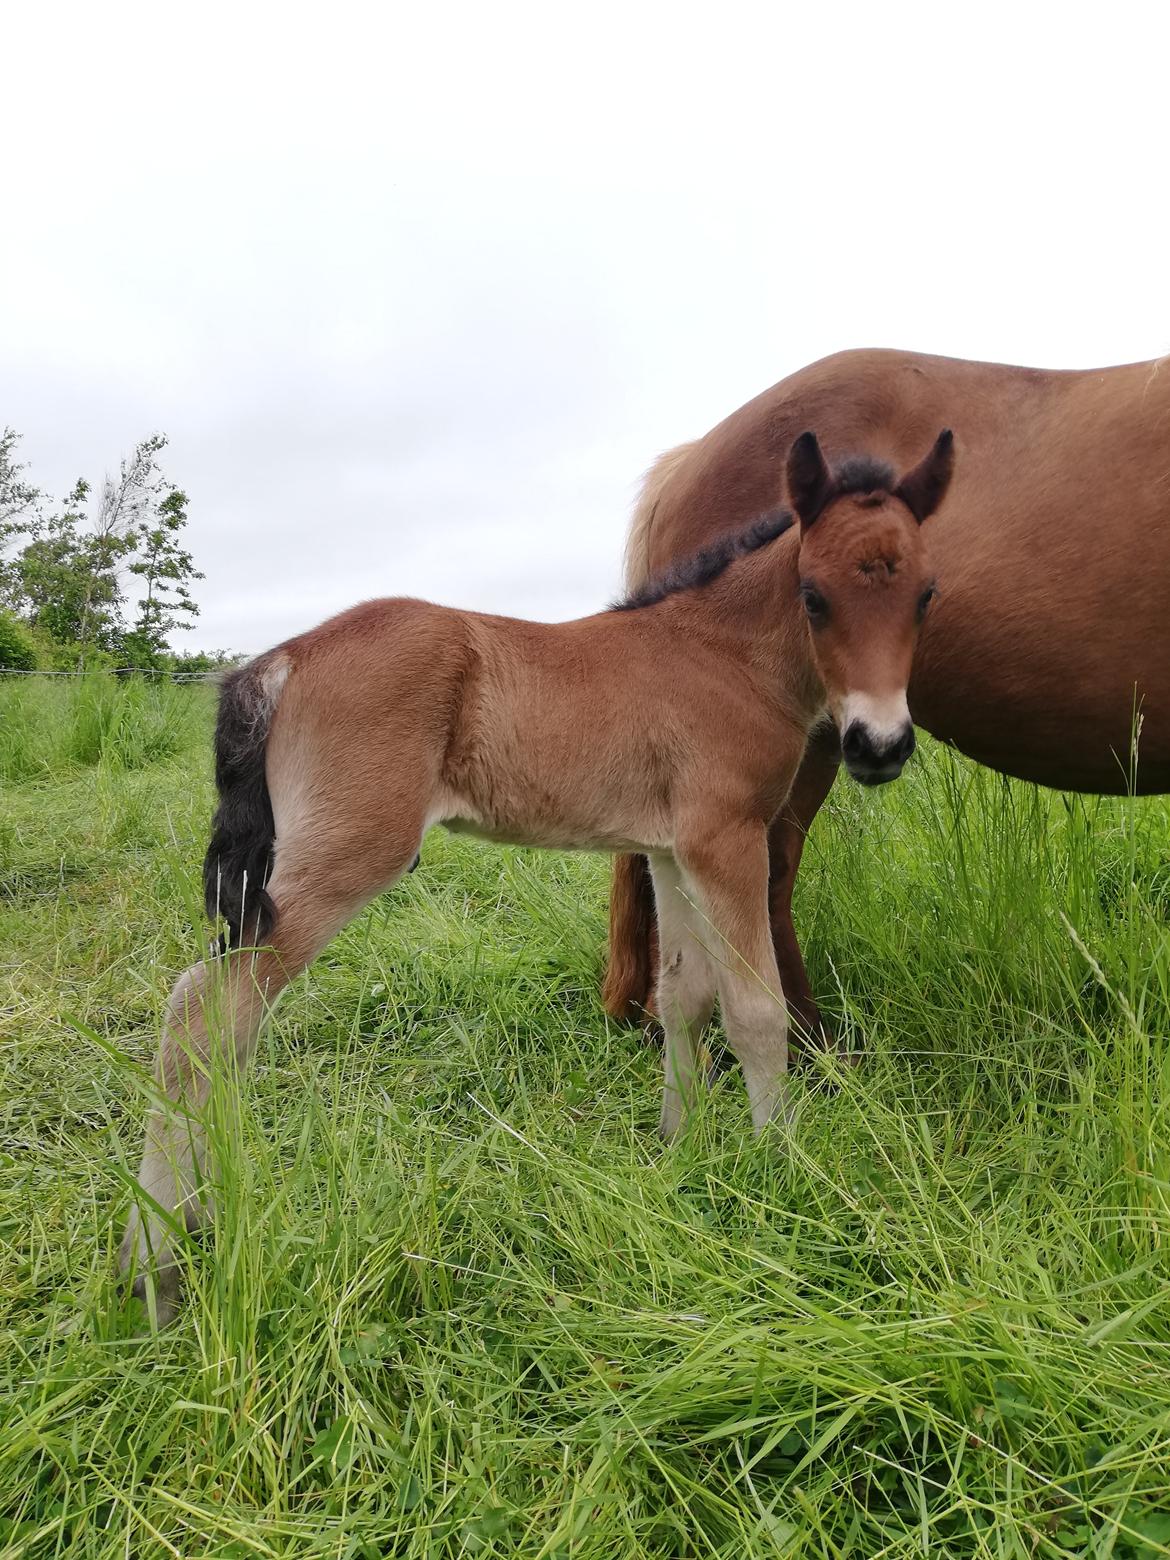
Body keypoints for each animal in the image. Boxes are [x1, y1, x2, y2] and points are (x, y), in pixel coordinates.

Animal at [124, 433, 954, 1322]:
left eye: (925, 594)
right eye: (813, 596)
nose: (878, 745)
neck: (721, 655)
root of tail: (285, 656)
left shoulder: (670, 850)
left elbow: (683, 996)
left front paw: (680, 1149)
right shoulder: (727, 841)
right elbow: (755, 1011)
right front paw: (783, 1171)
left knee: (226, 1023)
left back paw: (190, 1230)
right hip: (345, 856)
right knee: (205, 1010)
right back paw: (155, 1274)